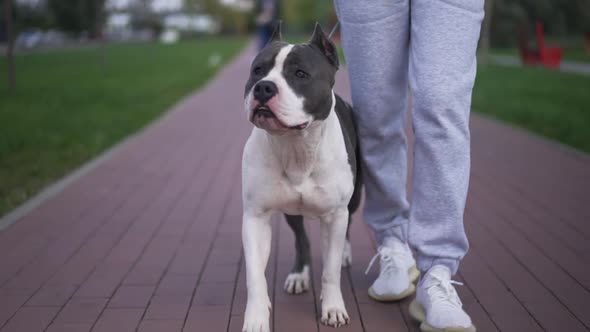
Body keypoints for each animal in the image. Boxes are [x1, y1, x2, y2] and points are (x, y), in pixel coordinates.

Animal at [242, 22, 364, 330]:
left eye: (300, 74)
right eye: (258, 70)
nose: (264, 87)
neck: (295, 145)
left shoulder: (335, 214)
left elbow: (330, 271)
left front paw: (333, 308)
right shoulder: (255, 217)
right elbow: (255, 276)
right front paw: (256, 317)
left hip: (355, 197)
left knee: (349, 223)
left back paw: (345, 254)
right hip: (291, 211)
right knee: (301, 239)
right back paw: (299, 274)